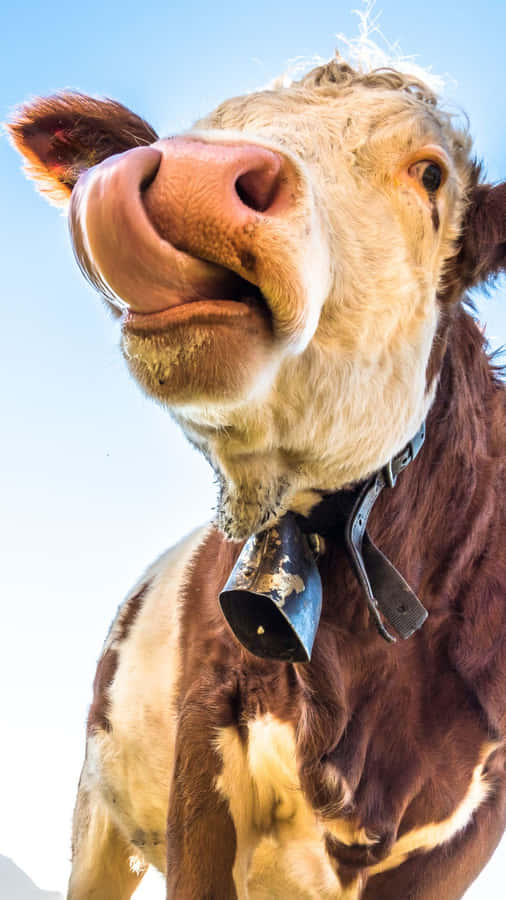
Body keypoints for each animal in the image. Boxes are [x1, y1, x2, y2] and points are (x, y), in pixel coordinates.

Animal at [8, 56, 506, 899]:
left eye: (431, 173)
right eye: (212, 123)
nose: (190, 177)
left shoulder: (473, 823)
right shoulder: (205, 729)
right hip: (97, 819)